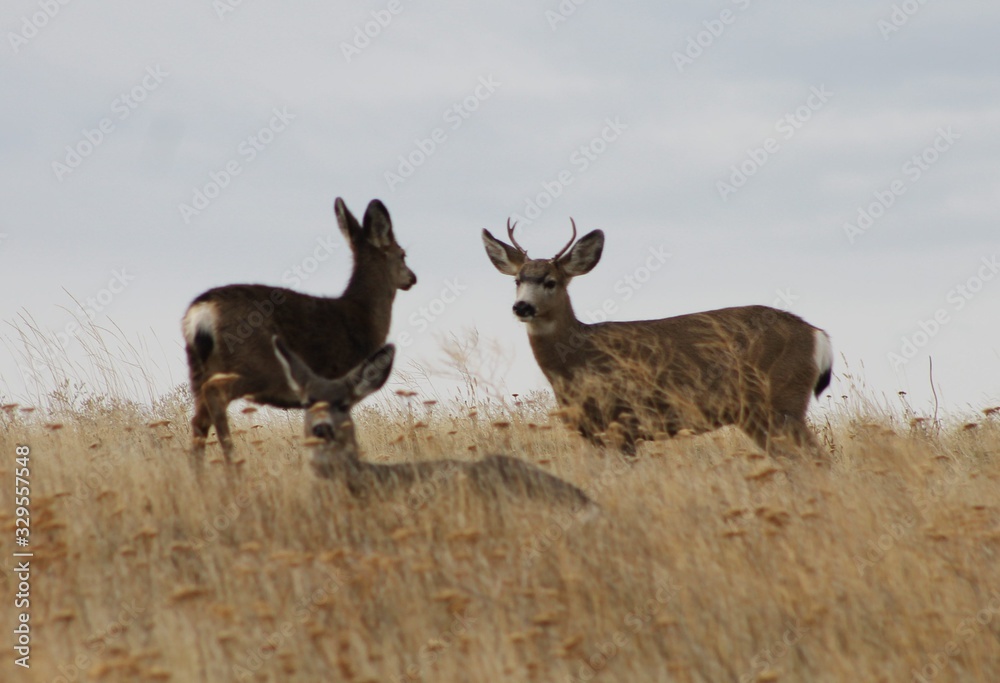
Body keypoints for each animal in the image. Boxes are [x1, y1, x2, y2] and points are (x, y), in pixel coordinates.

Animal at [181, 198, 416, 458]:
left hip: (198, 367)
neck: (363, 314)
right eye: (403, 254)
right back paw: (233, 461)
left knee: (199, 420)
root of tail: (201, 311)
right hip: (255, 366)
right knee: (216, 396)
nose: (412, 278)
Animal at [482, 219, 833, 457]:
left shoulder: (622, 422)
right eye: (517, 279)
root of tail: (817, 335)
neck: (578, 357)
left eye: (551, 281)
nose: (522, 306)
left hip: (782, 400)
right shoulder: (594, 432)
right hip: (759, 414)